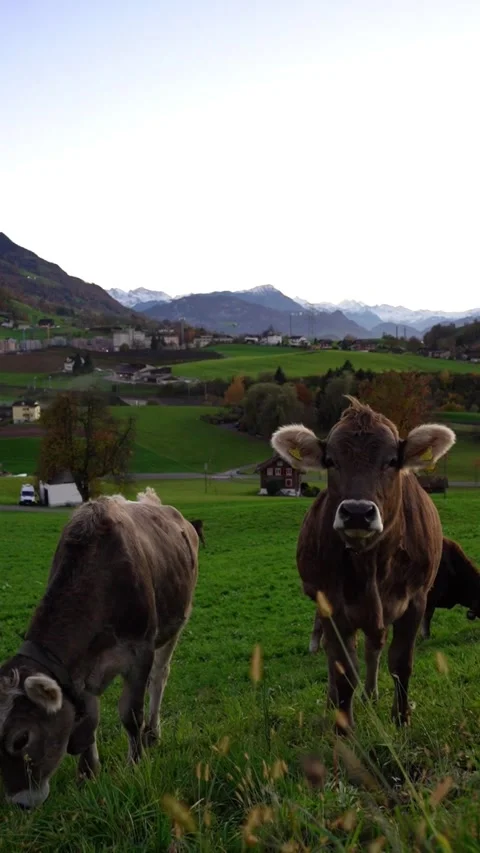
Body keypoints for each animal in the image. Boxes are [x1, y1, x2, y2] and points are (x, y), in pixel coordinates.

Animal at [0, 487, 199, 809]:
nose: (20, 802)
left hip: (175, 625)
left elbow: (130, 714)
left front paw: (135, 764)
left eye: (21, 739)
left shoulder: (140, 651)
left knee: (160, 677)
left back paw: (153, 732)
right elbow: (90, 718)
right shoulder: (79, 670)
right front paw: (88, 774)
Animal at [271, 396, 455, 731]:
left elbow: (400, 662)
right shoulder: (333, 604)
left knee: (374, 647)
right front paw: (343, 728)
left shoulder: (416, 599)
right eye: (331, 461)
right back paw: (334, 702)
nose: (357, 512)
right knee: (337, 654)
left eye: (392, 460)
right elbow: (344, 669)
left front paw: (401, 719)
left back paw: (371, 694)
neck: (371, 564)